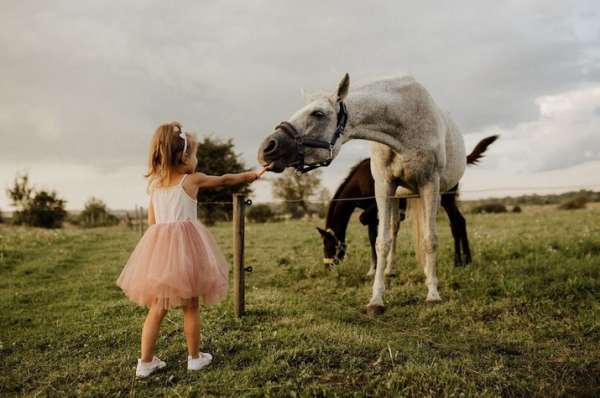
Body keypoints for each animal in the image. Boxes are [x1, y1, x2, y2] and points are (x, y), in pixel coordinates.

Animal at [255, 72, 466, 314]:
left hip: (443, 196)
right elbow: (382, 242)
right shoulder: (384, 186)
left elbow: (430, 240)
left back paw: (459, 262)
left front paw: (432, 294)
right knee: (394, 229)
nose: (266, 148)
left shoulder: (430, 185)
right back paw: (391, 270)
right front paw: (376, 299)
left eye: (318, 114)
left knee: (455, 224)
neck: (404, 126)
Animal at [318, 135, 496, 276]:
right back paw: (468, 259)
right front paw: (373, 269)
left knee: (455, 225)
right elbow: (372, 235)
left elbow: (366, 221)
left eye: (327, 247)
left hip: (447, 199)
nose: (328, 268)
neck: (360, 181)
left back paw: (458, 261)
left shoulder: (376, 204)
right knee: (461, 221)